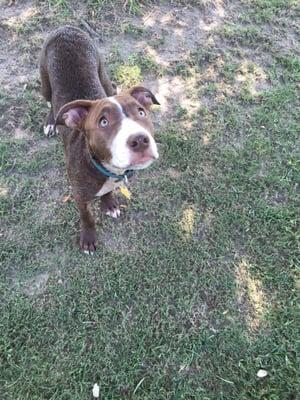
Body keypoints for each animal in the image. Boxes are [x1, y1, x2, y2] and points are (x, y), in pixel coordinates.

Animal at [41, 26, 161, 255]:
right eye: (103, 122)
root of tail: (66, 28)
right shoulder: (80, 197)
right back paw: (51, 122)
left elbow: (108, 192)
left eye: (141, 112)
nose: (140, 140)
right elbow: (87, 217)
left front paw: (109, 204)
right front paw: (88, 239)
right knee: (50, 101)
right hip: (44, 82)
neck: (106, 167)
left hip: (102, 72)